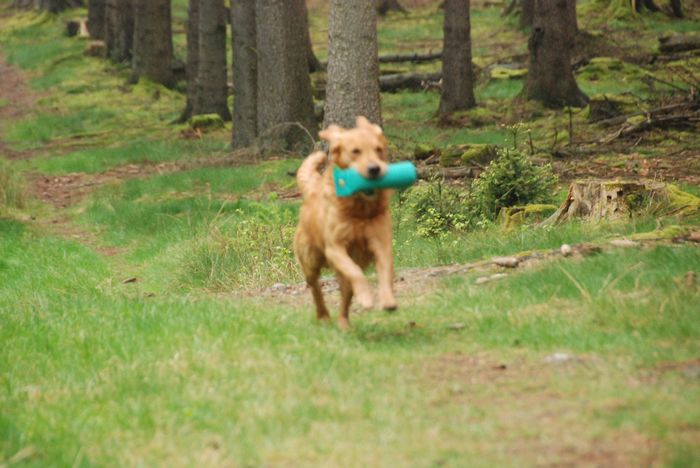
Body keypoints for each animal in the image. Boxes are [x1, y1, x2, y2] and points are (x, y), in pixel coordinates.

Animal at [293, 116, 397, 329]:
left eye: (378, 149)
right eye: (355, 151)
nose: (375, 169)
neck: (360, 211)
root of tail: (313, 188)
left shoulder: (381, 243)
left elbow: (384, 272)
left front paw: (388, 300)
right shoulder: (335, 248)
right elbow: (355, 273)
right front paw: (366, 298)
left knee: (345, 296)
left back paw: (343, 323)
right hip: (310, 260)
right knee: (315, 288)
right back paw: (324, 316)